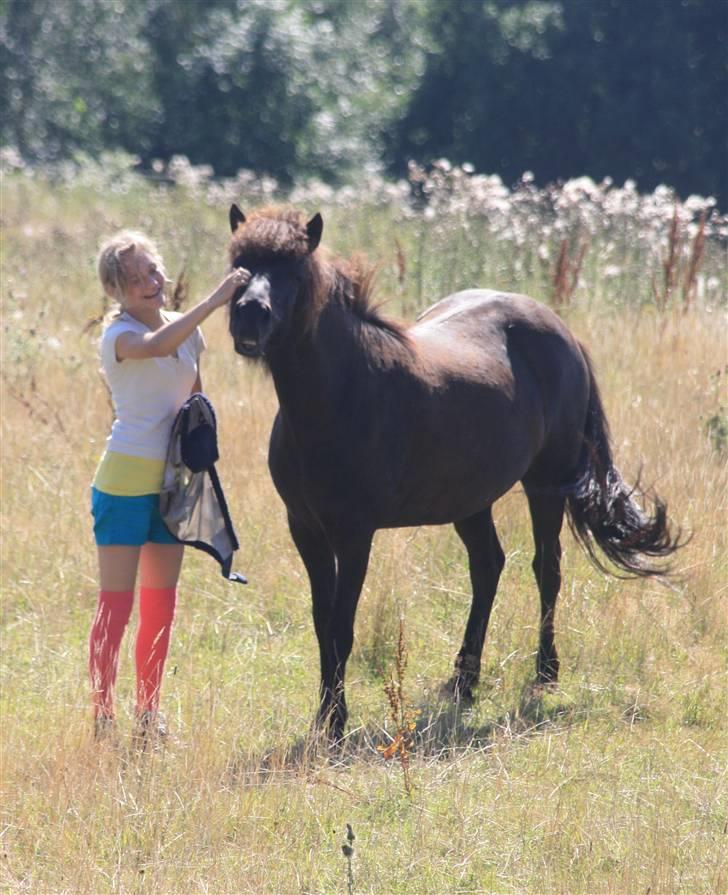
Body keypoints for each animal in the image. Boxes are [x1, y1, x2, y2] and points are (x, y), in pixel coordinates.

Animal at [226, 205, 684, 744]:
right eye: (239, 264)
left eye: (294, 272)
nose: (249, 314)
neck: (342, 394)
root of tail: (564, 333)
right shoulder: (305, 529)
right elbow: (322, 623)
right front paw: (324, 717)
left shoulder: (354, 534)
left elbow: (341, 625)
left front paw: (336, 723)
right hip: (471, 501)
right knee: (487, 567)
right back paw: (464, 681)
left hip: (545, 484)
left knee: (546, 569)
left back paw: (545, 674)